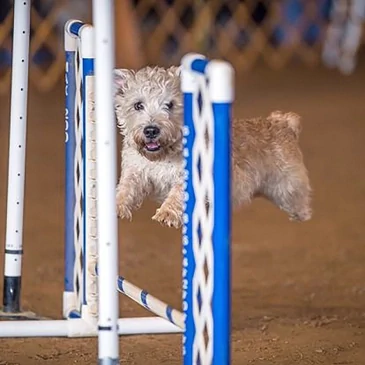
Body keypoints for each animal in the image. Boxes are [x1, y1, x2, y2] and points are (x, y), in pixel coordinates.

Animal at [113, 65, 310, 228]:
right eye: (138, 105)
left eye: (170, 104)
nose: (151, 130)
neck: (163, 155)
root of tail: (284, 122)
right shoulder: (135, 172)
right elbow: (126, 189)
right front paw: (116, 206)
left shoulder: (193, 177)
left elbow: (178, 193)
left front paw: (167, 213)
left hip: (287, 186)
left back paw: (302, 216)